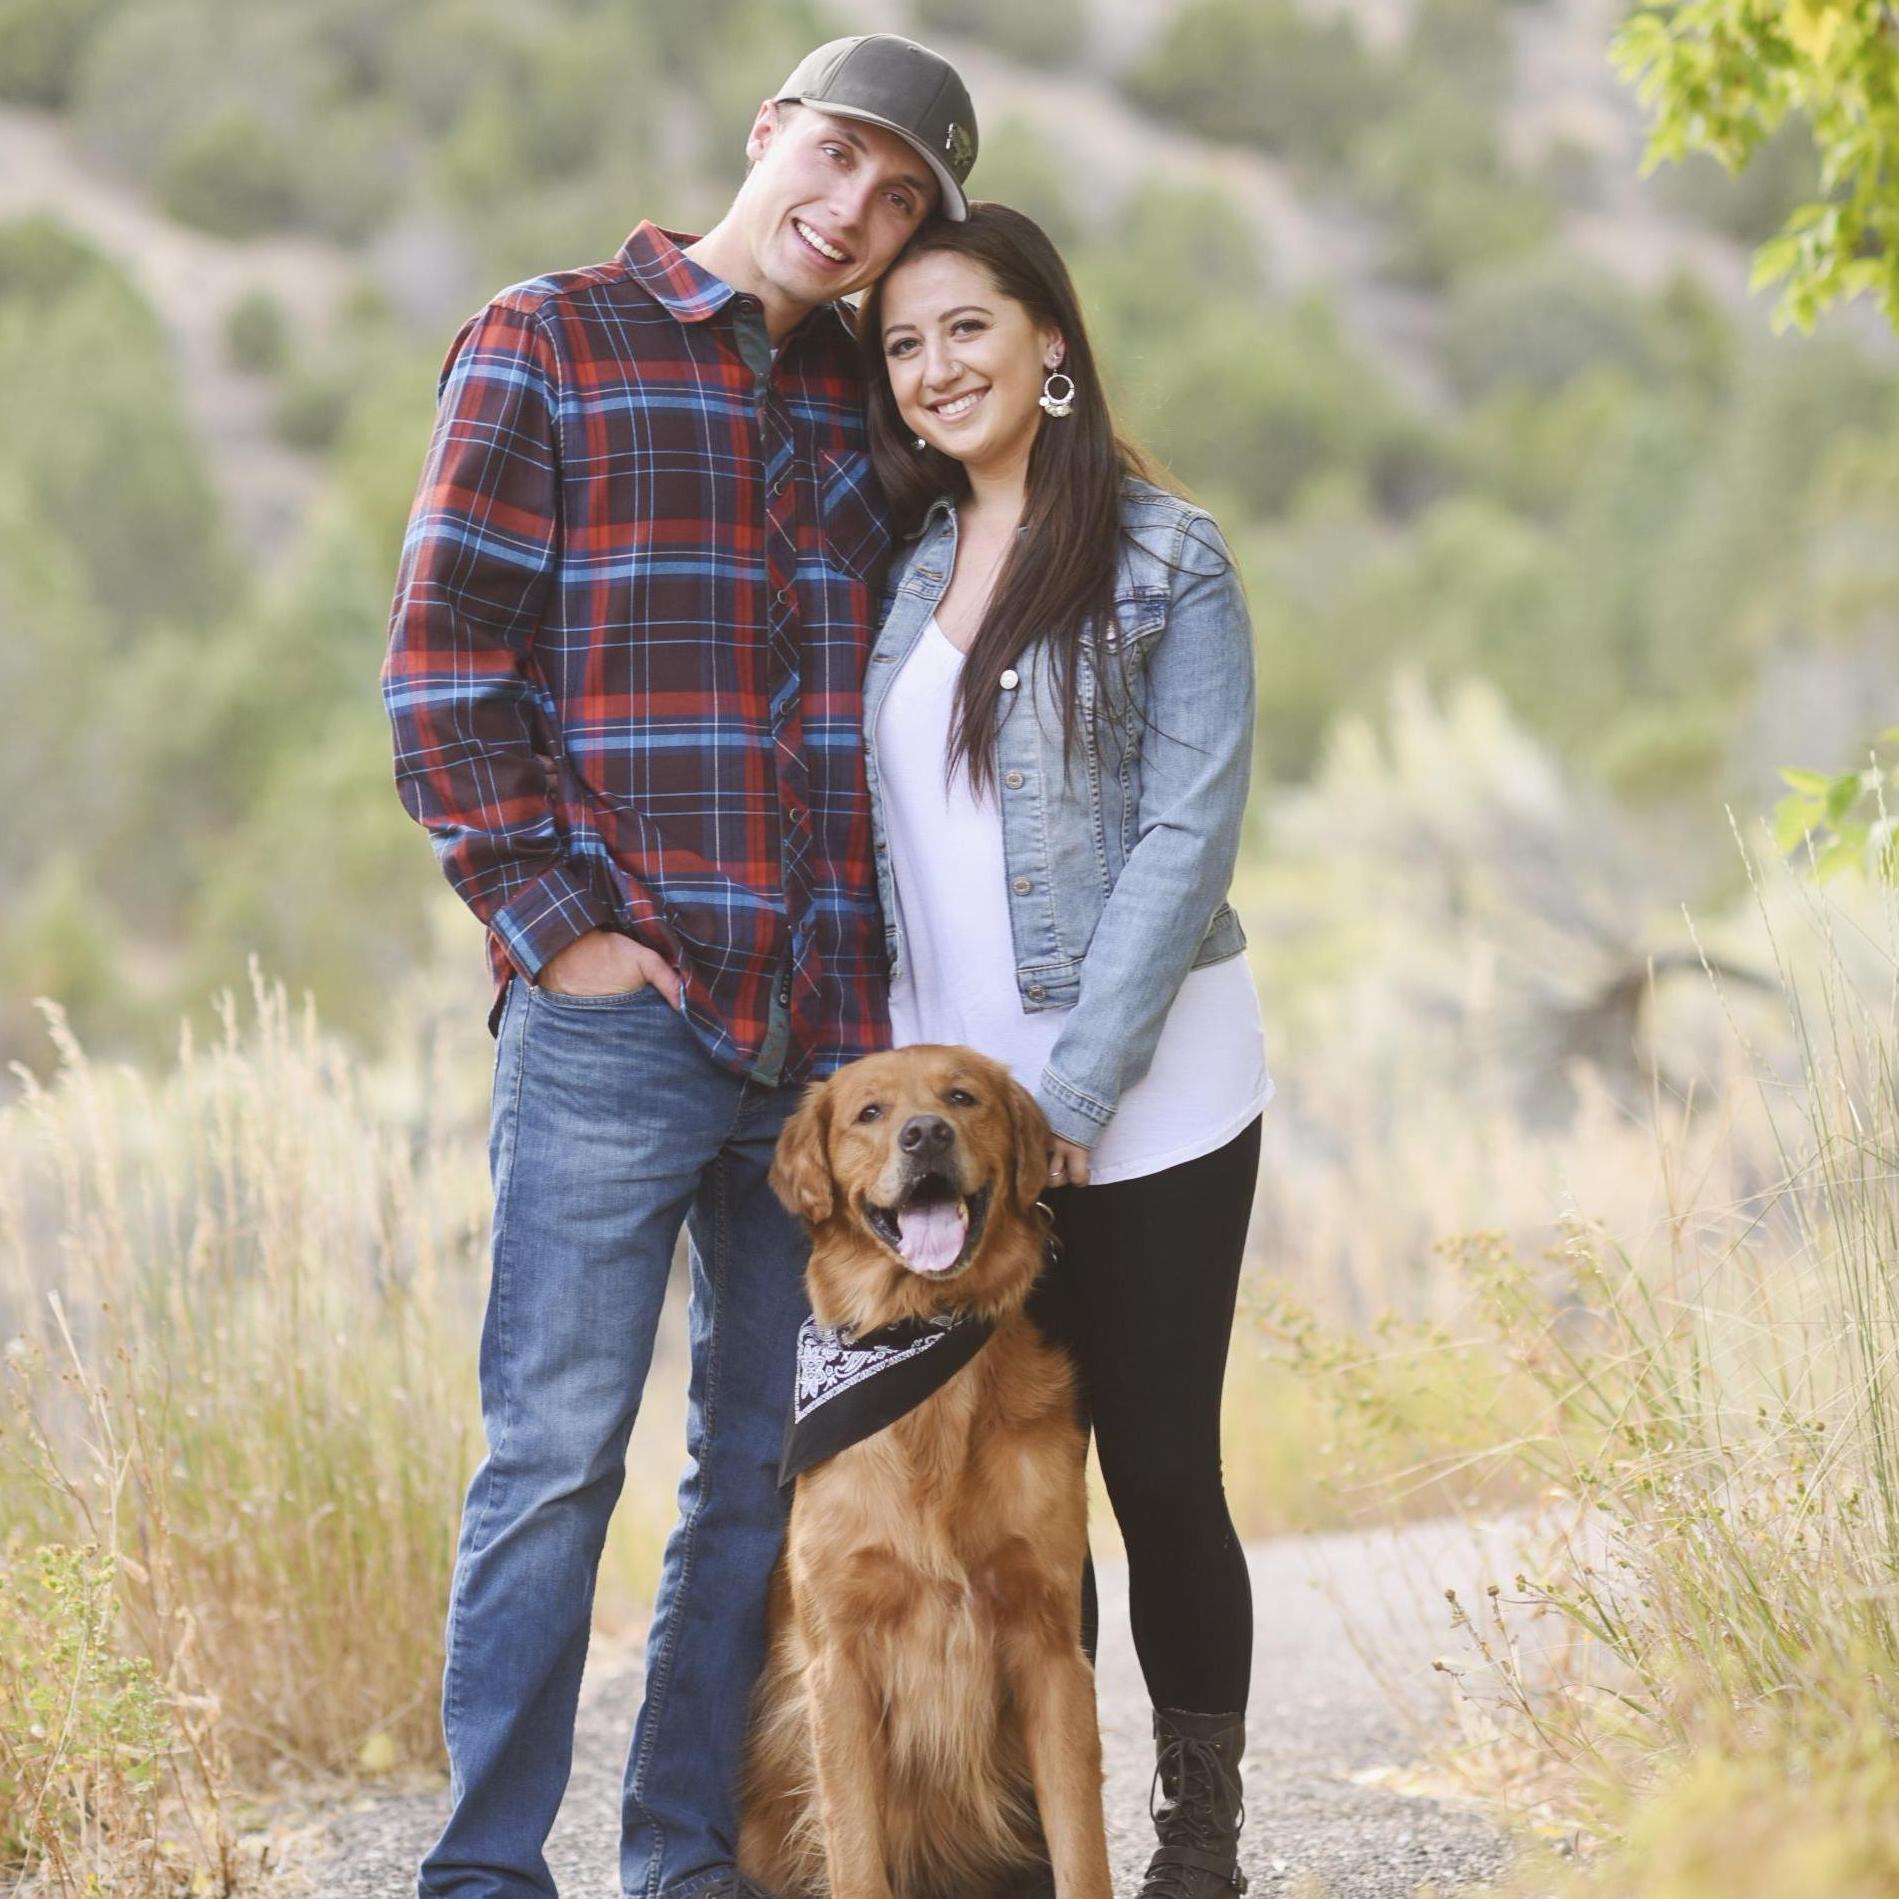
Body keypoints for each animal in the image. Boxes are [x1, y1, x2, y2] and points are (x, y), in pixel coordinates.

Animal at [736, 1045, 1112, 1899]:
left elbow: (1081, 1847)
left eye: (962, 1097)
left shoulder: (1051, 1646)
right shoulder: (837, 1660)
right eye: (869, 1113)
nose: (926, 1134)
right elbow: (853, 1846)